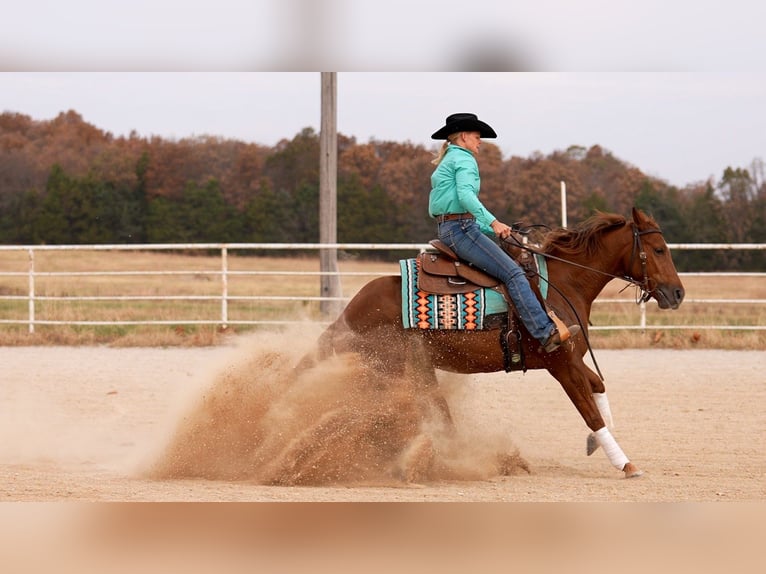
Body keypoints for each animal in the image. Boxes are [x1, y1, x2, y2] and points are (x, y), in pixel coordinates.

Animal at [300, 209, 684, 480]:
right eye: (659, 249)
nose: (678, 293)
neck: (561, 284)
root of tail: (349, 311)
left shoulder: (574, 361)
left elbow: (599, 388)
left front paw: (594, 444)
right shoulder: (562, 365)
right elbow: (590, 412)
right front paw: (626, 464)